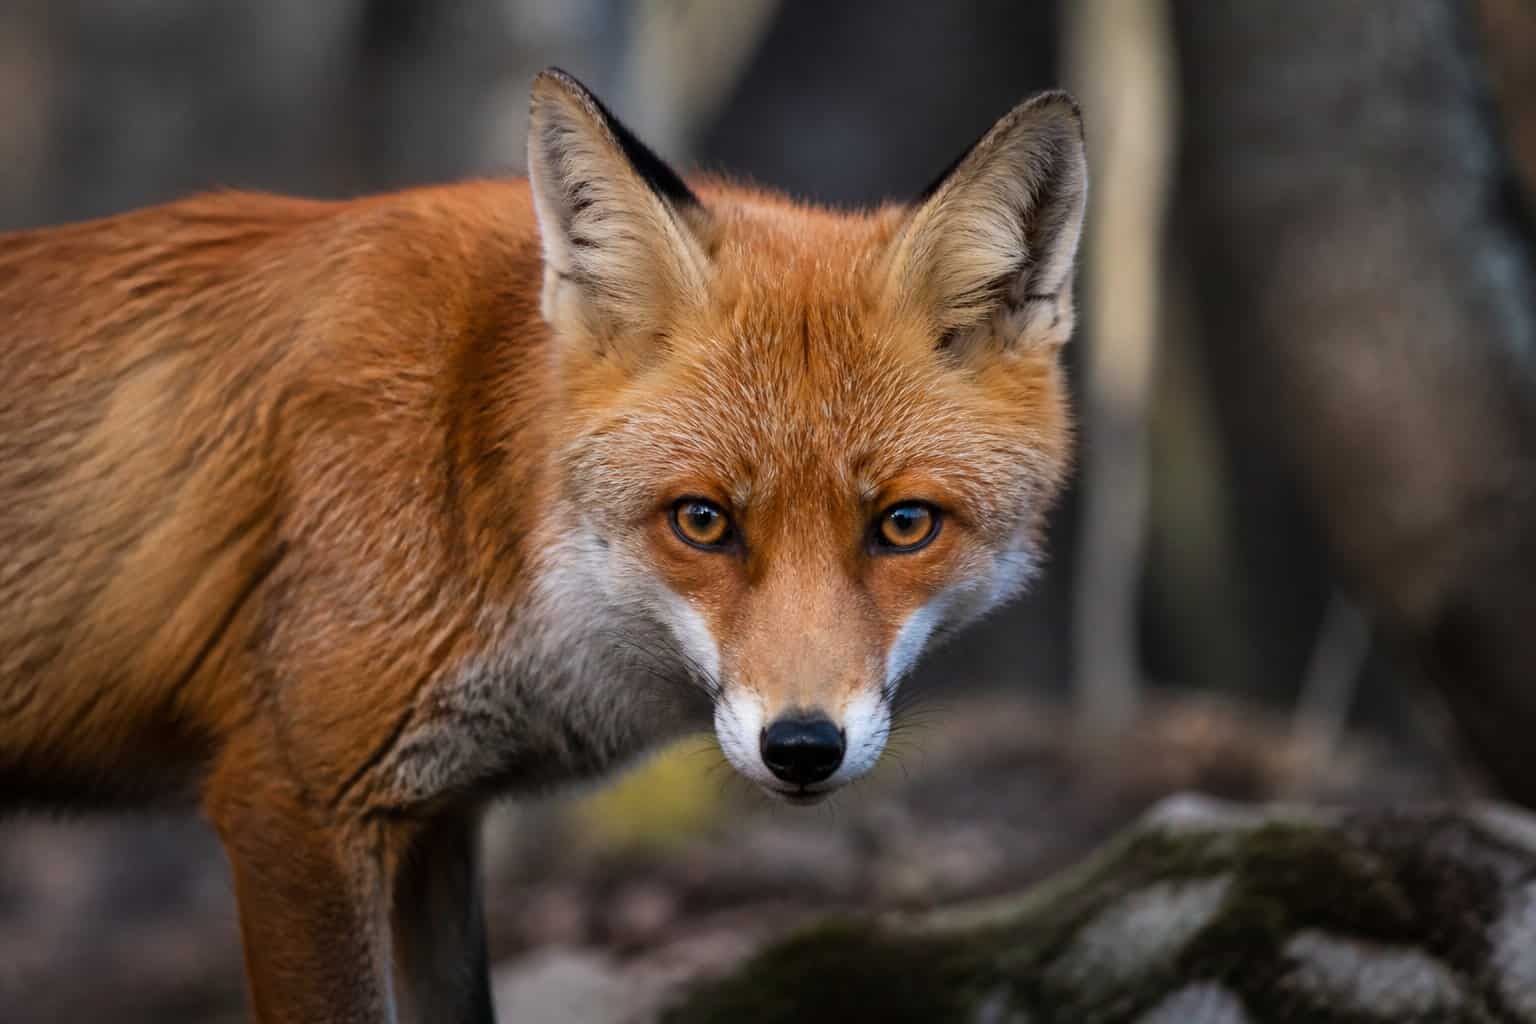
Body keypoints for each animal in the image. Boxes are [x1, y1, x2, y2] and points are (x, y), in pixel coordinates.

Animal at [0, 69, 1085, 1022]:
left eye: (904, 524)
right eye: (702, 520)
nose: (804, 748)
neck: (473, 481)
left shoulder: (437, 815)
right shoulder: (292, 802)